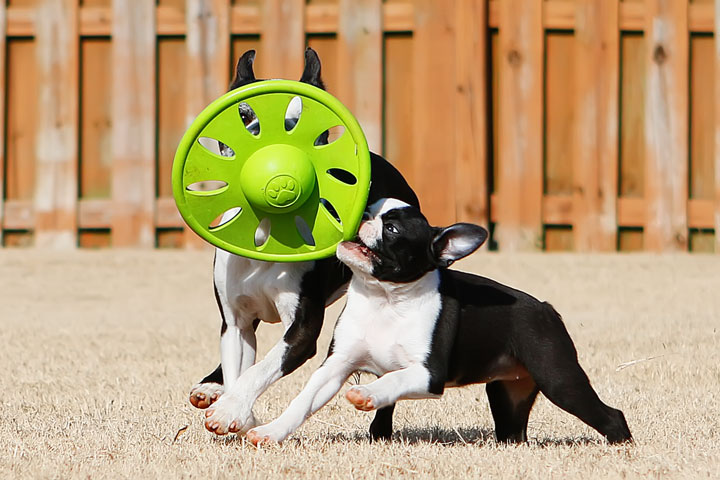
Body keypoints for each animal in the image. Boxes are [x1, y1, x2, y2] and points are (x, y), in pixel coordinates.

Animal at [191, 49, 420, 438]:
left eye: (303, 119)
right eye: (243, 115)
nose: (261, 132)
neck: (266, 230)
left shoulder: (301, 331)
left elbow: (261, 369)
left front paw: (232, 411)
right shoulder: (236, 323)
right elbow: (240, 367)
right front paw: (235, 410)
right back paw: (210, 385)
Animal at [245, 197, 632, 444]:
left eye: (393, 229)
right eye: (369, 209)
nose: (361, 216)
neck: (385, 299)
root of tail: (546, 308)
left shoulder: (429, 374)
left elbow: (392, 379)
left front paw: (366, 394)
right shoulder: (336, 365)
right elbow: (304, 401)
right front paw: (271, 432)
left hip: (558, 379)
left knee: (610, 415)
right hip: (506, 394)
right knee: (513, 433)